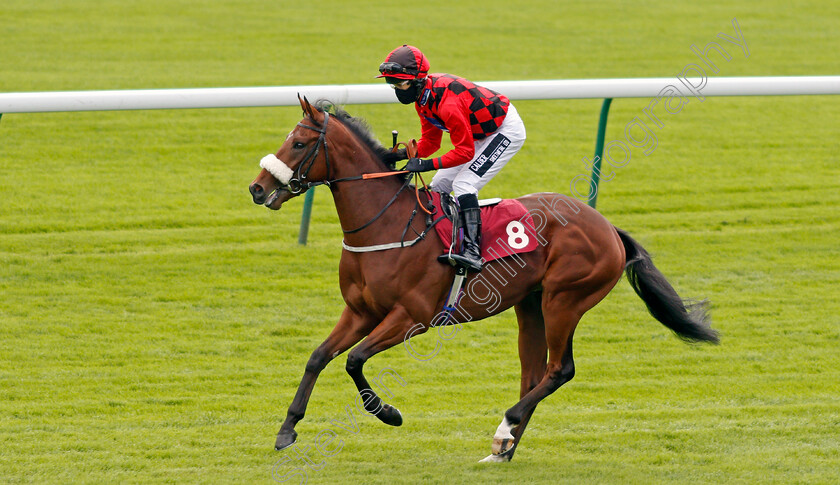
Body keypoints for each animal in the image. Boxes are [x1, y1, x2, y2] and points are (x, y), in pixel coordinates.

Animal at [246, 97, 720, 462]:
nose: (257, 188)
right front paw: (287, 430)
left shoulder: (412, 317)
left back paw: (506, 426)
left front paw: (388, 412)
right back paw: (503, 448)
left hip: (565, 299)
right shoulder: (361, 311)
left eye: (300, 142)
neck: (385, 225)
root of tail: (607, 226)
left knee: (559, 370)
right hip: (531, 304)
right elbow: (318, 357)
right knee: (534, 374)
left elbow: (354, 360)